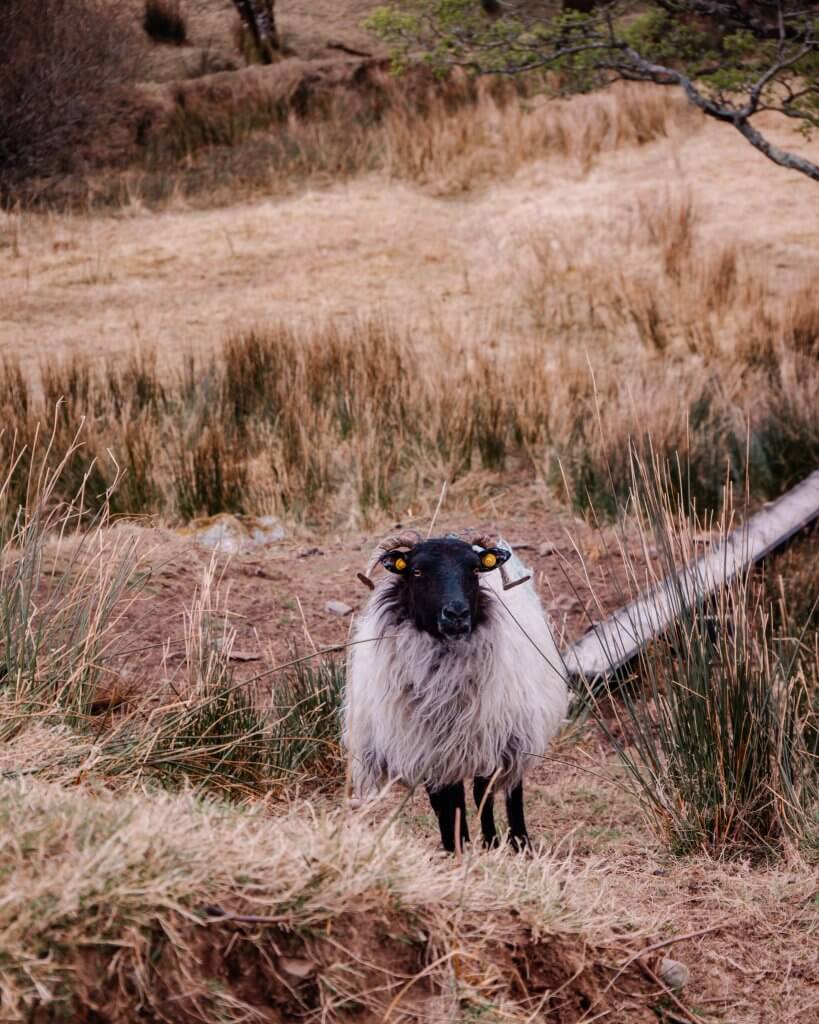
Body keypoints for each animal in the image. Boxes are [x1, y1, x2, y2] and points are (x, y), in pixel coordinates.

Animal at [344, 533, 568, 852]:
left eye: (474, 570)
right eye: (416, 571)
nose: (456, 614)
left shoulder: (491, 739)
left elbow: (483, 795)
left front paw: (492, 844)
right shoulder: (428, 750)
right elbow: (446, 804)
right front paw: (456, 847)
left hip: (515, 732)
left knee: (509, 790)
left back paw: (518, 842)